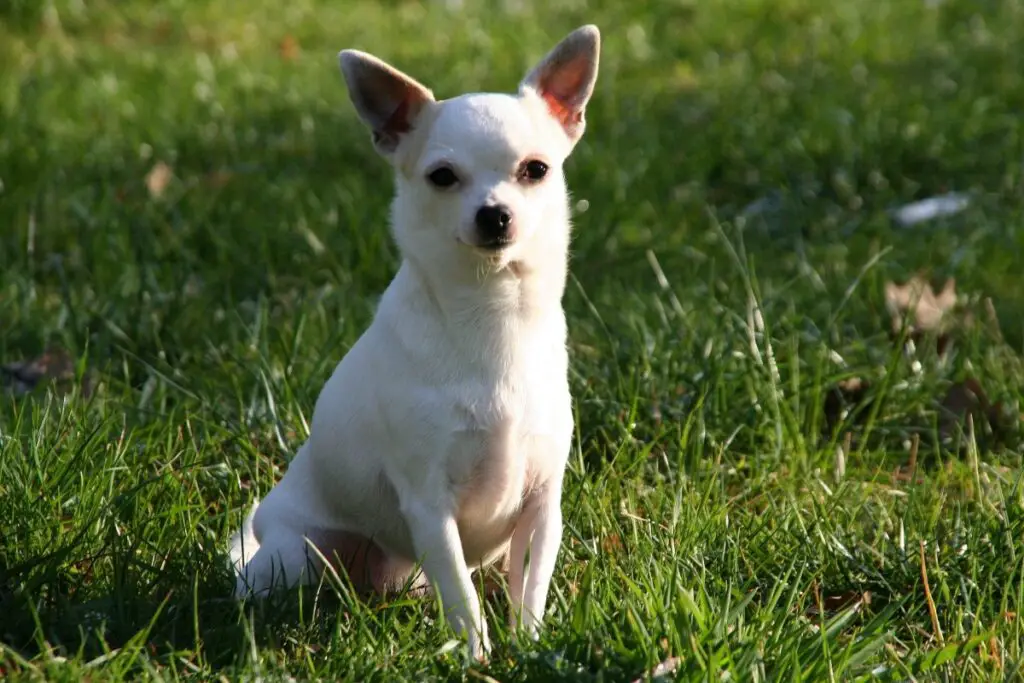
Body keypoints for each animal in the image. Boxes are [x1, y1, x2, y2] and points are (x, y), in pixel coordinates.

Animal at [230, 24, 598, 659]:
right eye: (442, 177)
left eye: (536, 169)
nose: (495, 214)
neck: (491, 315)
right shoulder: (429, 506)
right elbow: (463, 594)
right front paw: (477, 658)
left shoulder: (542, 505)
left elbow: (530, 586)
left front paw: (528, 645)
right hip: (296, 555)